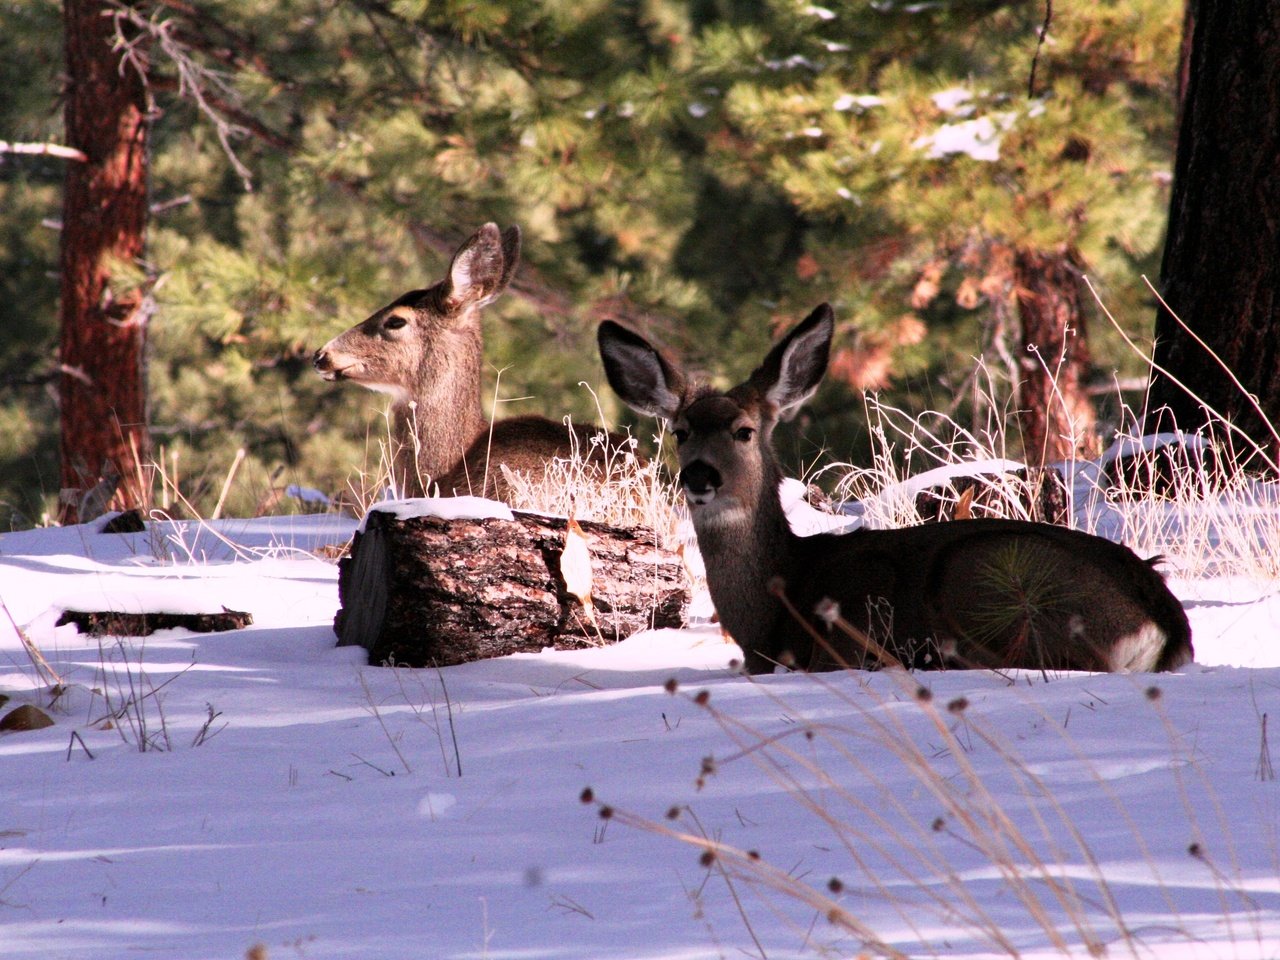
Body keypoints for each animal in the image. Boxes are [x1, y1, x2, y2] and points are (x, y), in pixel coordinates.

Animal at [593, 305, 1192, 675]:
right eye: (681, 432)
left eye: (743, 431)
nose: (700, 476)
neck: (772, 611)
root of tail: (1164, 625)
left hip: (985, 574)